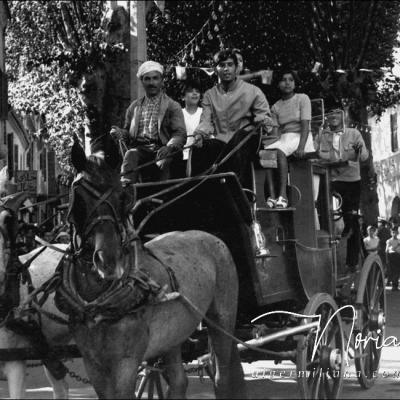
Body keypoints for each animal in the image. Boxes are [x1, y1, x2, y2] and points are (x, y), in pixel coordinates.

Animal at [61, 139, 245, 398]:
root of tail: (212, 238)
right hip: (174, 335)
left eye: (122, 197)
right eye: (78, 196)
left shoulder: (126, 363)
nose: (108, 260)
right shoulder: (93, 363)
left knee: (222, 376)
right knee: (179, 381)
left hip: (223, 318)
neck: (97, 300)